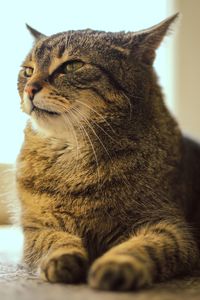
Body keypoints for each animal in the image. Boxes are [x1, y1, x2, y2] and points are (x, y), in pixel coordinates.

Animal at [15, 14, 200, 290]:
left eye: (72, 66)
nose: (30, 89)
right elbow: (54, 241)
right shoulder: (36, 229)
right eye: (28, 71)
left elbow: (142, 246)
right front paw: (62, 258)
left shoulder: (170, 227)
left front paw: (115, 265)